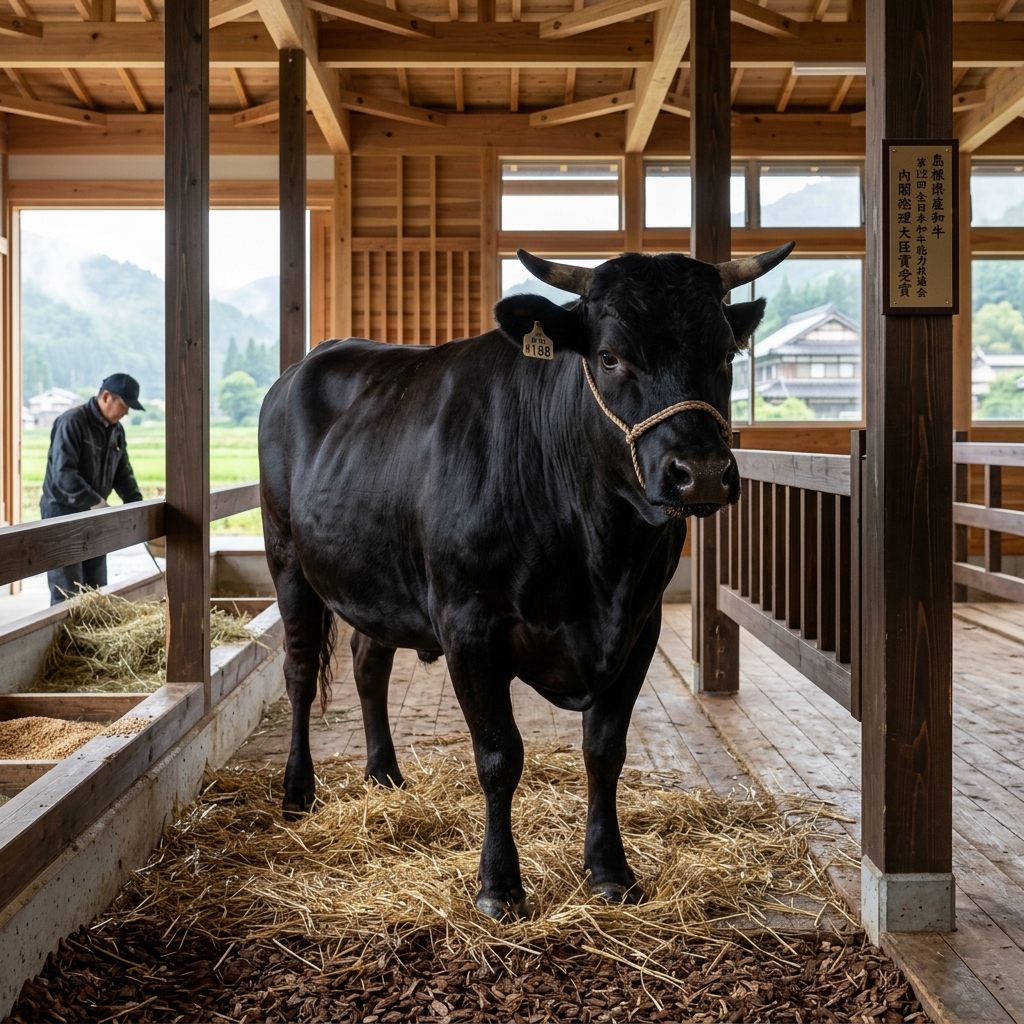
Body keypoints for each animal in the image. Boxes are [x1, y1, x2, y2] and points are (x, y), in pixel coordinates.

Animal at [258, 242, 795, 920]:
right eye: (609, 355)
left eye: (724, 353)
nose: (698, 472)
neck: (596, 559)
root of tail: (311, 360)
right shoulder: (469, 625)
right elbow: (499, 755)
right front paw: (499, 887)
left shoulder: (638, 627)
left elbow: (605, 749)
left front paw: (610, 871)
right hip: (286, 555)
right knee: (301, 672)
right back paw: (297, 792)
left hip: (376, 578)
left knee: (367, 664)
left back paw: (385, 777)